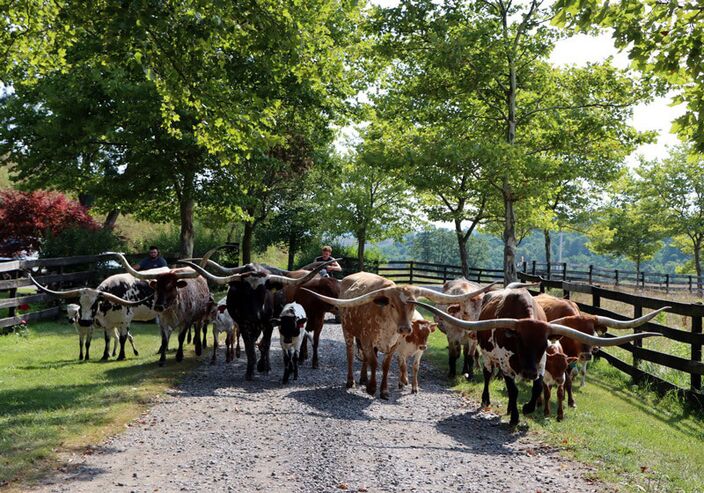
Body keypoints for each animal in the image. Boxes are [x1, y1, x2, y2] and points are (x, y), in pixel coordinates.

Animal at [302, 272, 496, 400]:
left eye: (413, 305)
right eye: (392, 305)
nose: (405, 329)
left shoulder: (393, 345)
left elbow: (385, 365)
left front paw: (383, 390)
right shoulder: (367, 339)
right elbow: (374, 362)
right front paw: (372, 388)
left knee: (364, 358)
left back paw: (363, 378)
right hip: (348, 331)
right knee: (350, 354)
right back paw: (351, 381)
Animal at [410, 298, 664, 424]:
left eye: (544, 345)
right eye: (519, 342)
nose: (588, 353)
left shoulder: (545, 365)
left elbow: (539, 388)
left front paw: (530, 407)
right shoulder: (506, 365)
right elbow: (513, 389)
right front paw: (515, 415)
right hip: (487, 357)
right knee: (488, 375)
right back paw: (487, 400)